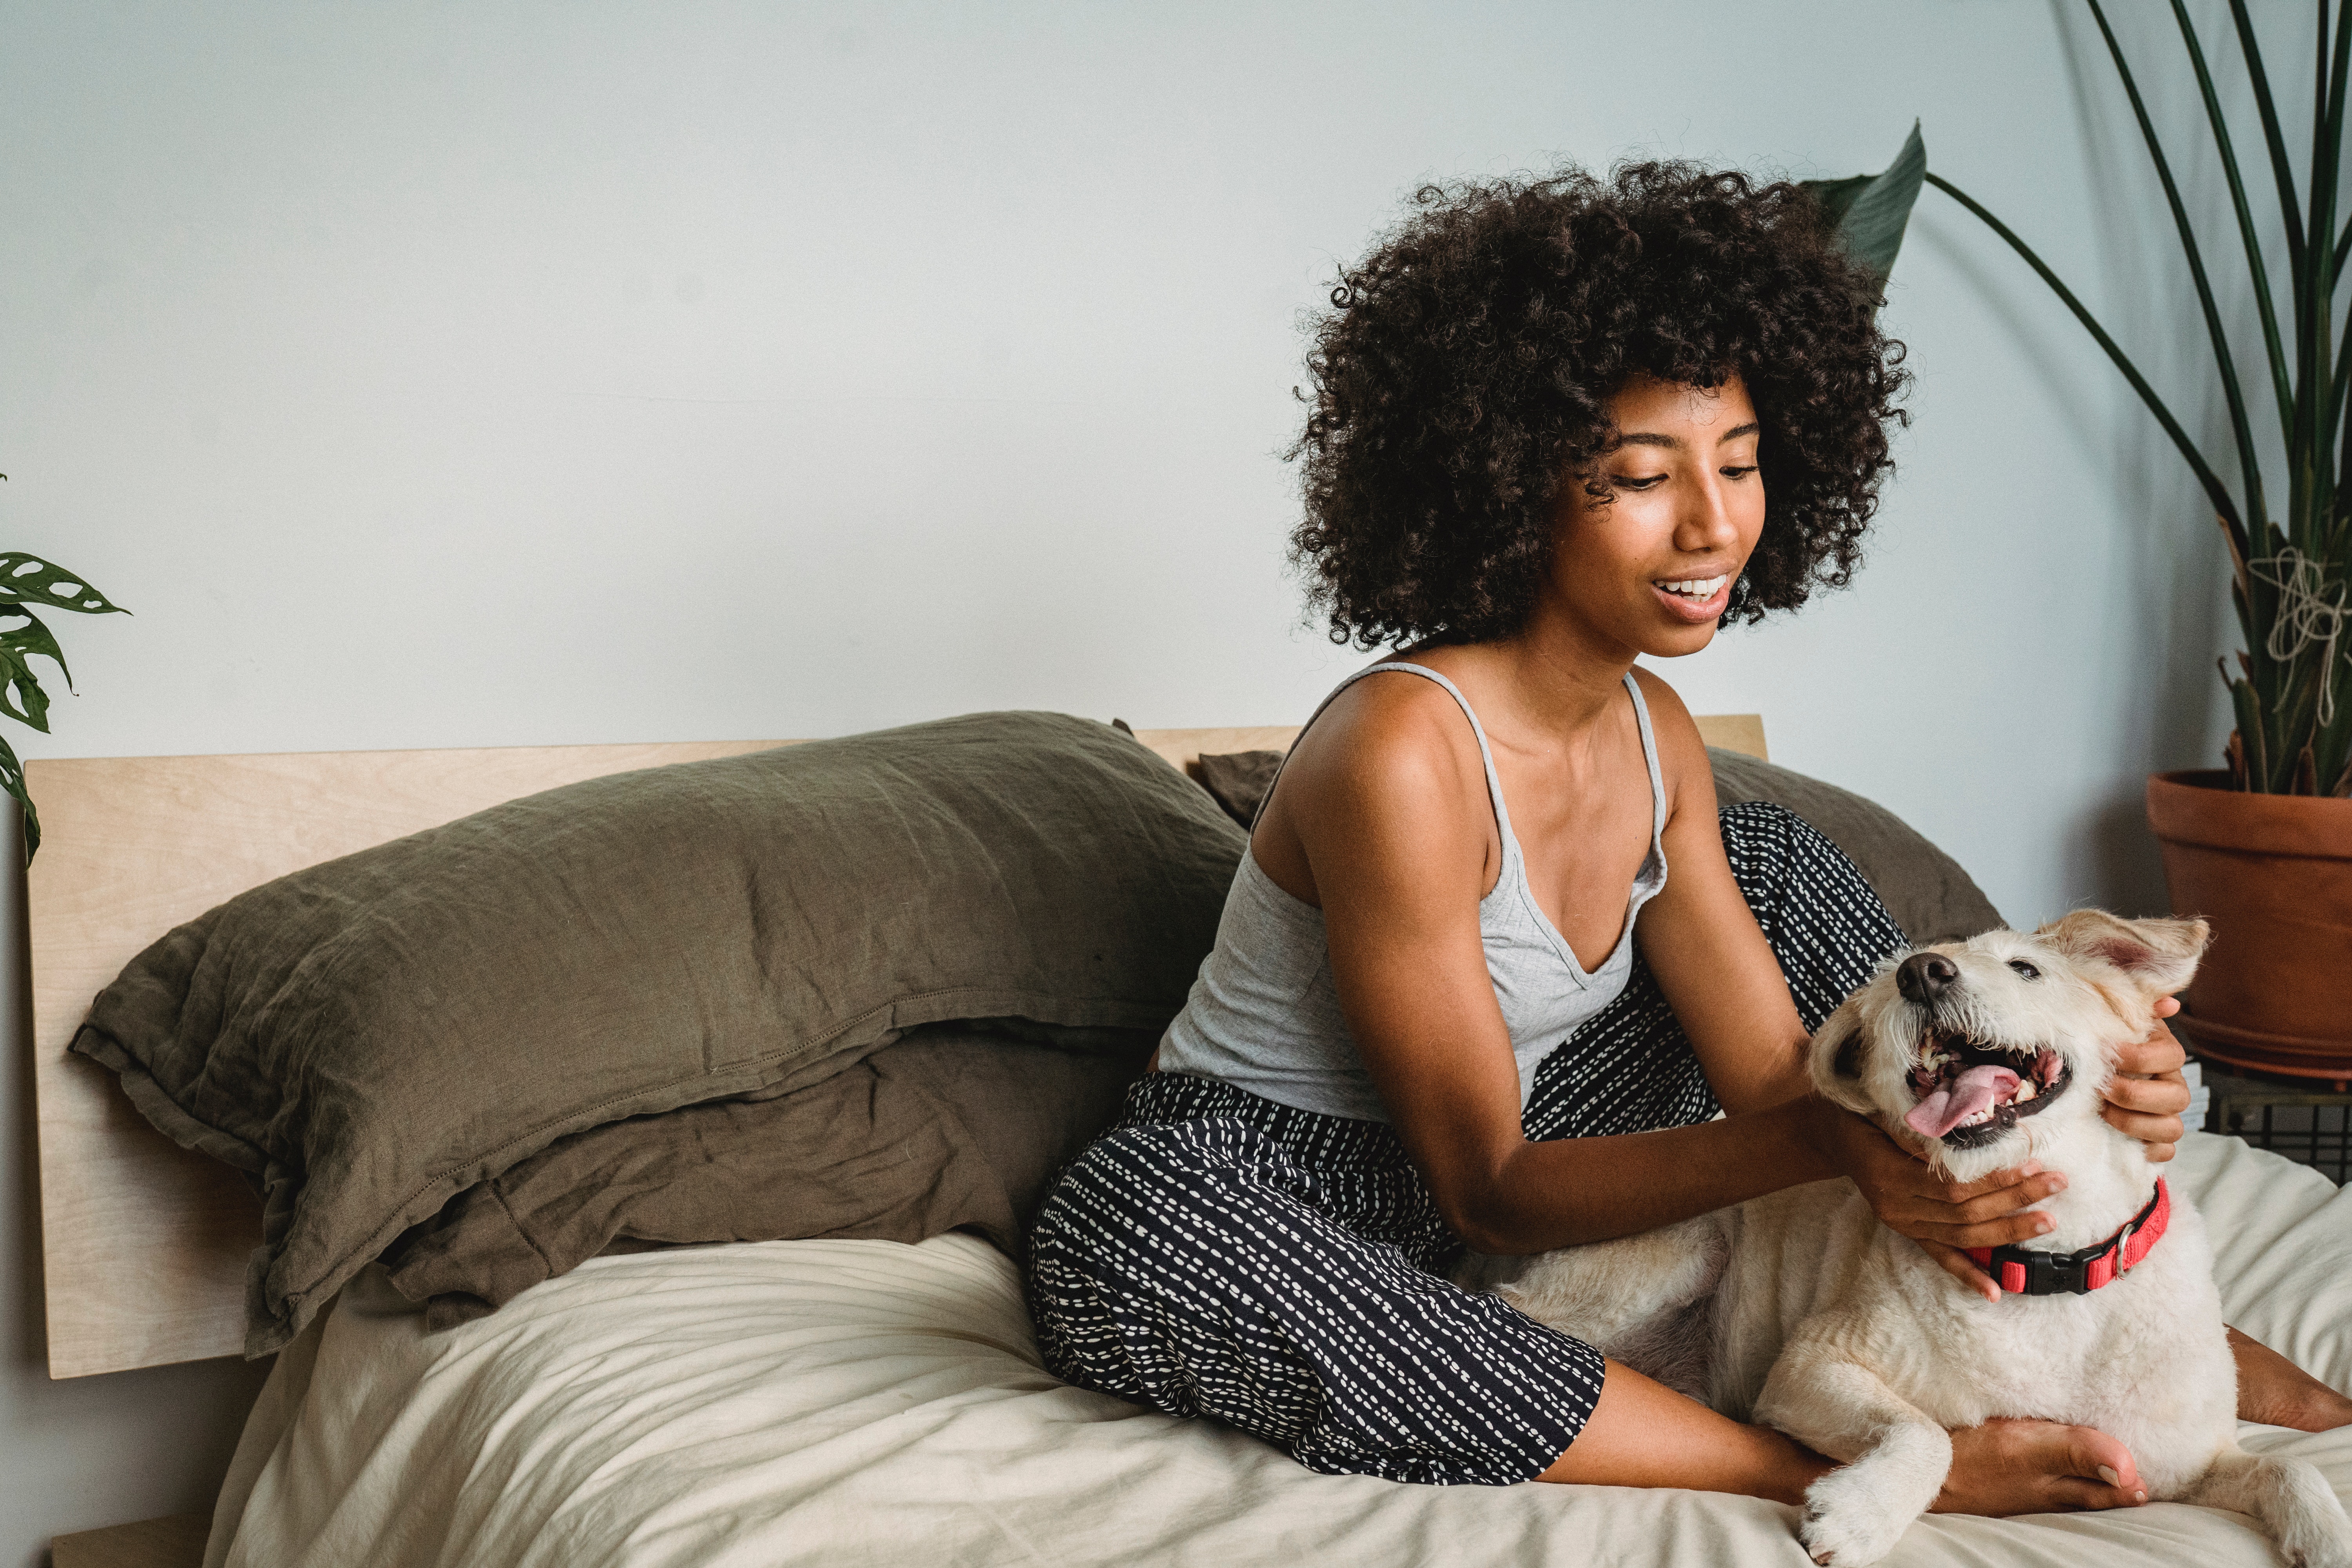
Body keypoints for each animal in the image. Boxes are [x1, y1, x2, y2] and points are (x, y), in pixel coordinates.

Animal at [1449, 912, 2352, 1568]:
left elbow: (2288, 1464)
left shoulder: (2181, 1464)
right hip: (1678, 1253)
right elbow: (1927, 1434)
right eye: (1894, 981)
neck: (2051, 1268)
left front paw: (2330, 1533)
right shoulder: (1811, 1368)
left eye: (2026, 968)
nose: (1924, 973)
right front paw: (1859, 1514)